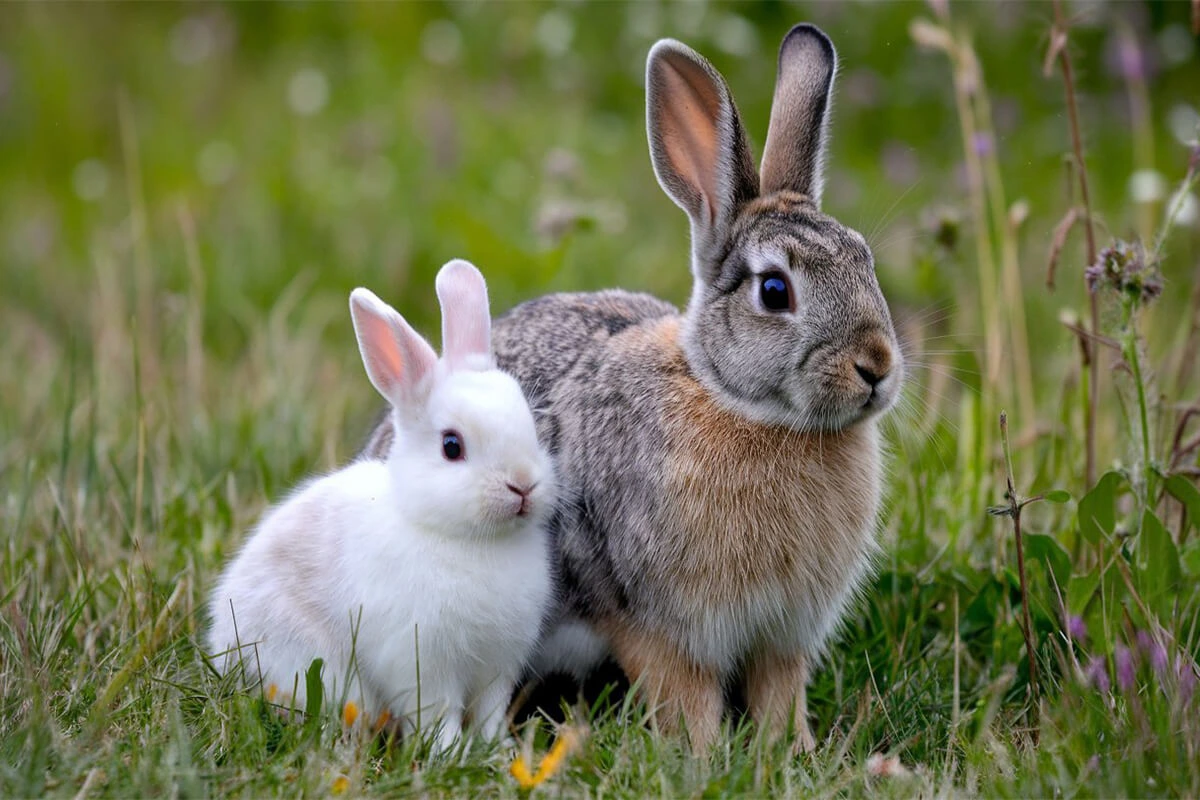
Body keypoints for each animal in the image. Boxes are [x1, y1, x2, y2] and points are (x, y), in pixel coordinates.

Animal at [208, 261, 554, 753]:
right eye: (452, 446)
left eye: (530, 426)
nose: (523, 485)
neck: (465, 538)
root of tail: (218, 639)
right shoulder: (422, 663)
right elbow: (439, 714)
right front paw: (448, 754)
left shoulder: (497, 666)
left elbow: (489, 712)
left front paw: (497, 751)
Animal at [360, 23, 902, 753]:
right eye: (774, 290)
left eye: (863, 260)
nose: (877, 365)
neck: (741, 407)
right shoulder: (656, 623)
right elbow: (686, 695)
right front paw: (704, 758)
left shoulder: (784, 634)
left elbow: (779, 695)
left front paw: (794, 753)